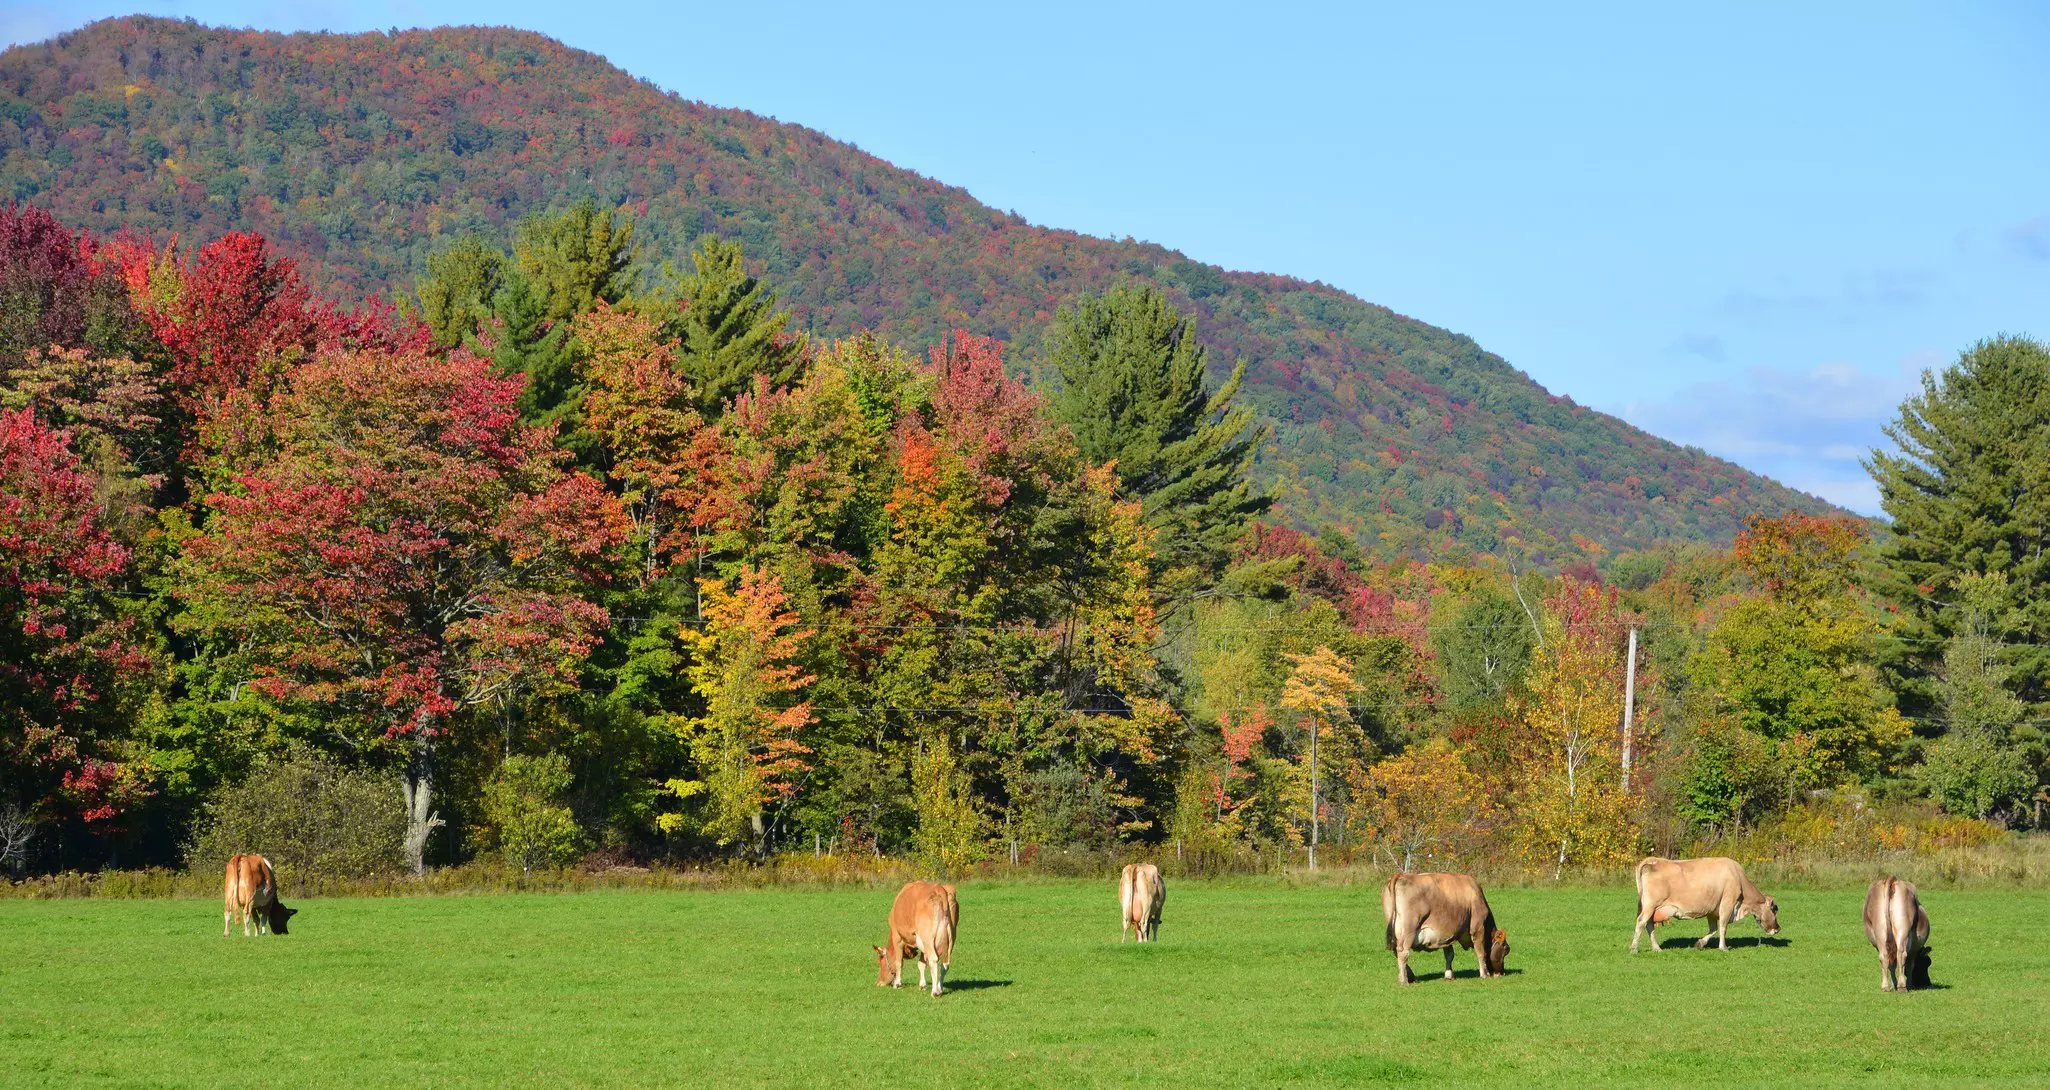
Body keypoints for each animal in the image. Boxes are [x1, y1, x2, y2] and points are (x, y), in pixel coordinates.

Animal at [1631, 856, 1778, 953]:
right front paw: (1723, 947)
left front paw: (1700, 944)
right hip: (1650, 905)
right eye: (1775, 909)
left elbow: (1713, 929)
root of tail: (1654, 860)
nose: (1778, 928)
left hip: (1651, 907)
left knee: (1649, 924)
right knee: (1641, 922)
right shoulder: (1727, 903)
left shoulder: (1712, 909)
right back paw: (1634, 948)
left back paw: (1656, 948)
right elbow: (1723, 927)